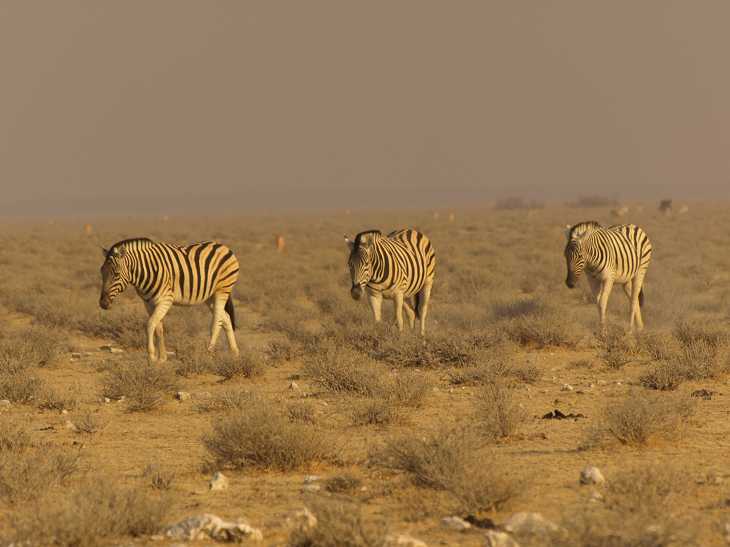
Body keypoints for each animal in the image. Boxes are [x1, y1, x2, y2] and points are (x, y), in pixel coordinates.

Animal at [99, 238, 240, 362]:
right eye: (101, 272)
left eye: (116, 274)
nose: (103, 304)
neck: (145, 272)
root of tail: (223, 246)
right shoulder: (149, 303)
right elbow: (159, 328)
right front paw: (162, 358)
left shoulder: (165, 300)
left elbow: (150, 324)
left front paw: (151, 357)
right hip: (210, 296)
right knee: (225, 317)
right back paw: (234, 352)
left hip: (222, 290)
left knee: (217, 321)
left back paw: (209, 353)